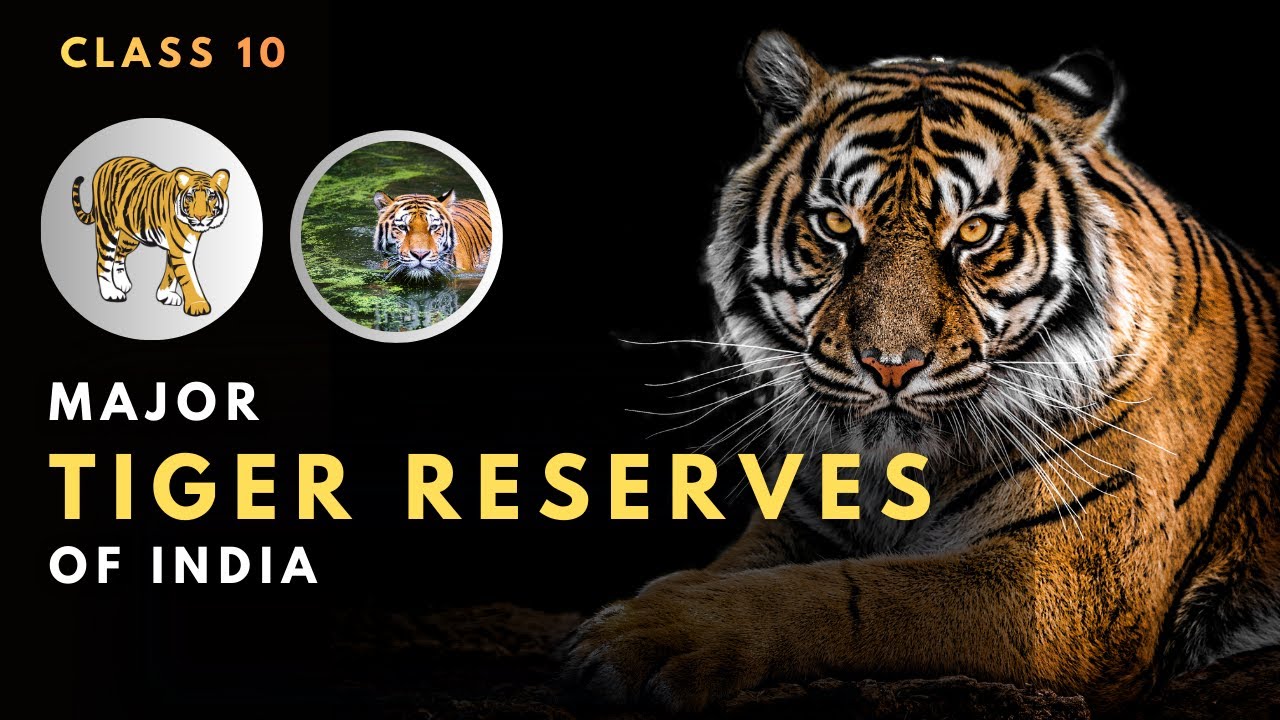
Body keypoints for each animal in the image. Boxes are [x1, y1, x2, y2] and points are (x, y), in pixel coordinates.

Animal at [71, 156, 229, 317]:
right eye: (190, 197)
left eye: (211, 197)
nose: (200, 216)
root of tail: (104, 165)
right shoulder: (181, 249)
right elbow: (188, 277)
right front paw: (198, 305)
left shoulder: (178, 246)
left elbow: (171, 272)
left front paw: (165, 295)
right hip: (107, 228)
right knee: (104, 261)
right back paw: (111, 292)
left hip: (130, 237)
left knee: (119, 253)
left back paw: (122, 282)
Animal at [564, 32, 1279, 714]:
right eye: (834, 224)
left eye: (975, 232)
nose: (891, 366)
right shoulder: (801, 524)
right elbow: (739, 568)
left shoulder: (1058, 585)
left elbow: (845, 595)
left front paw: (642, 637)